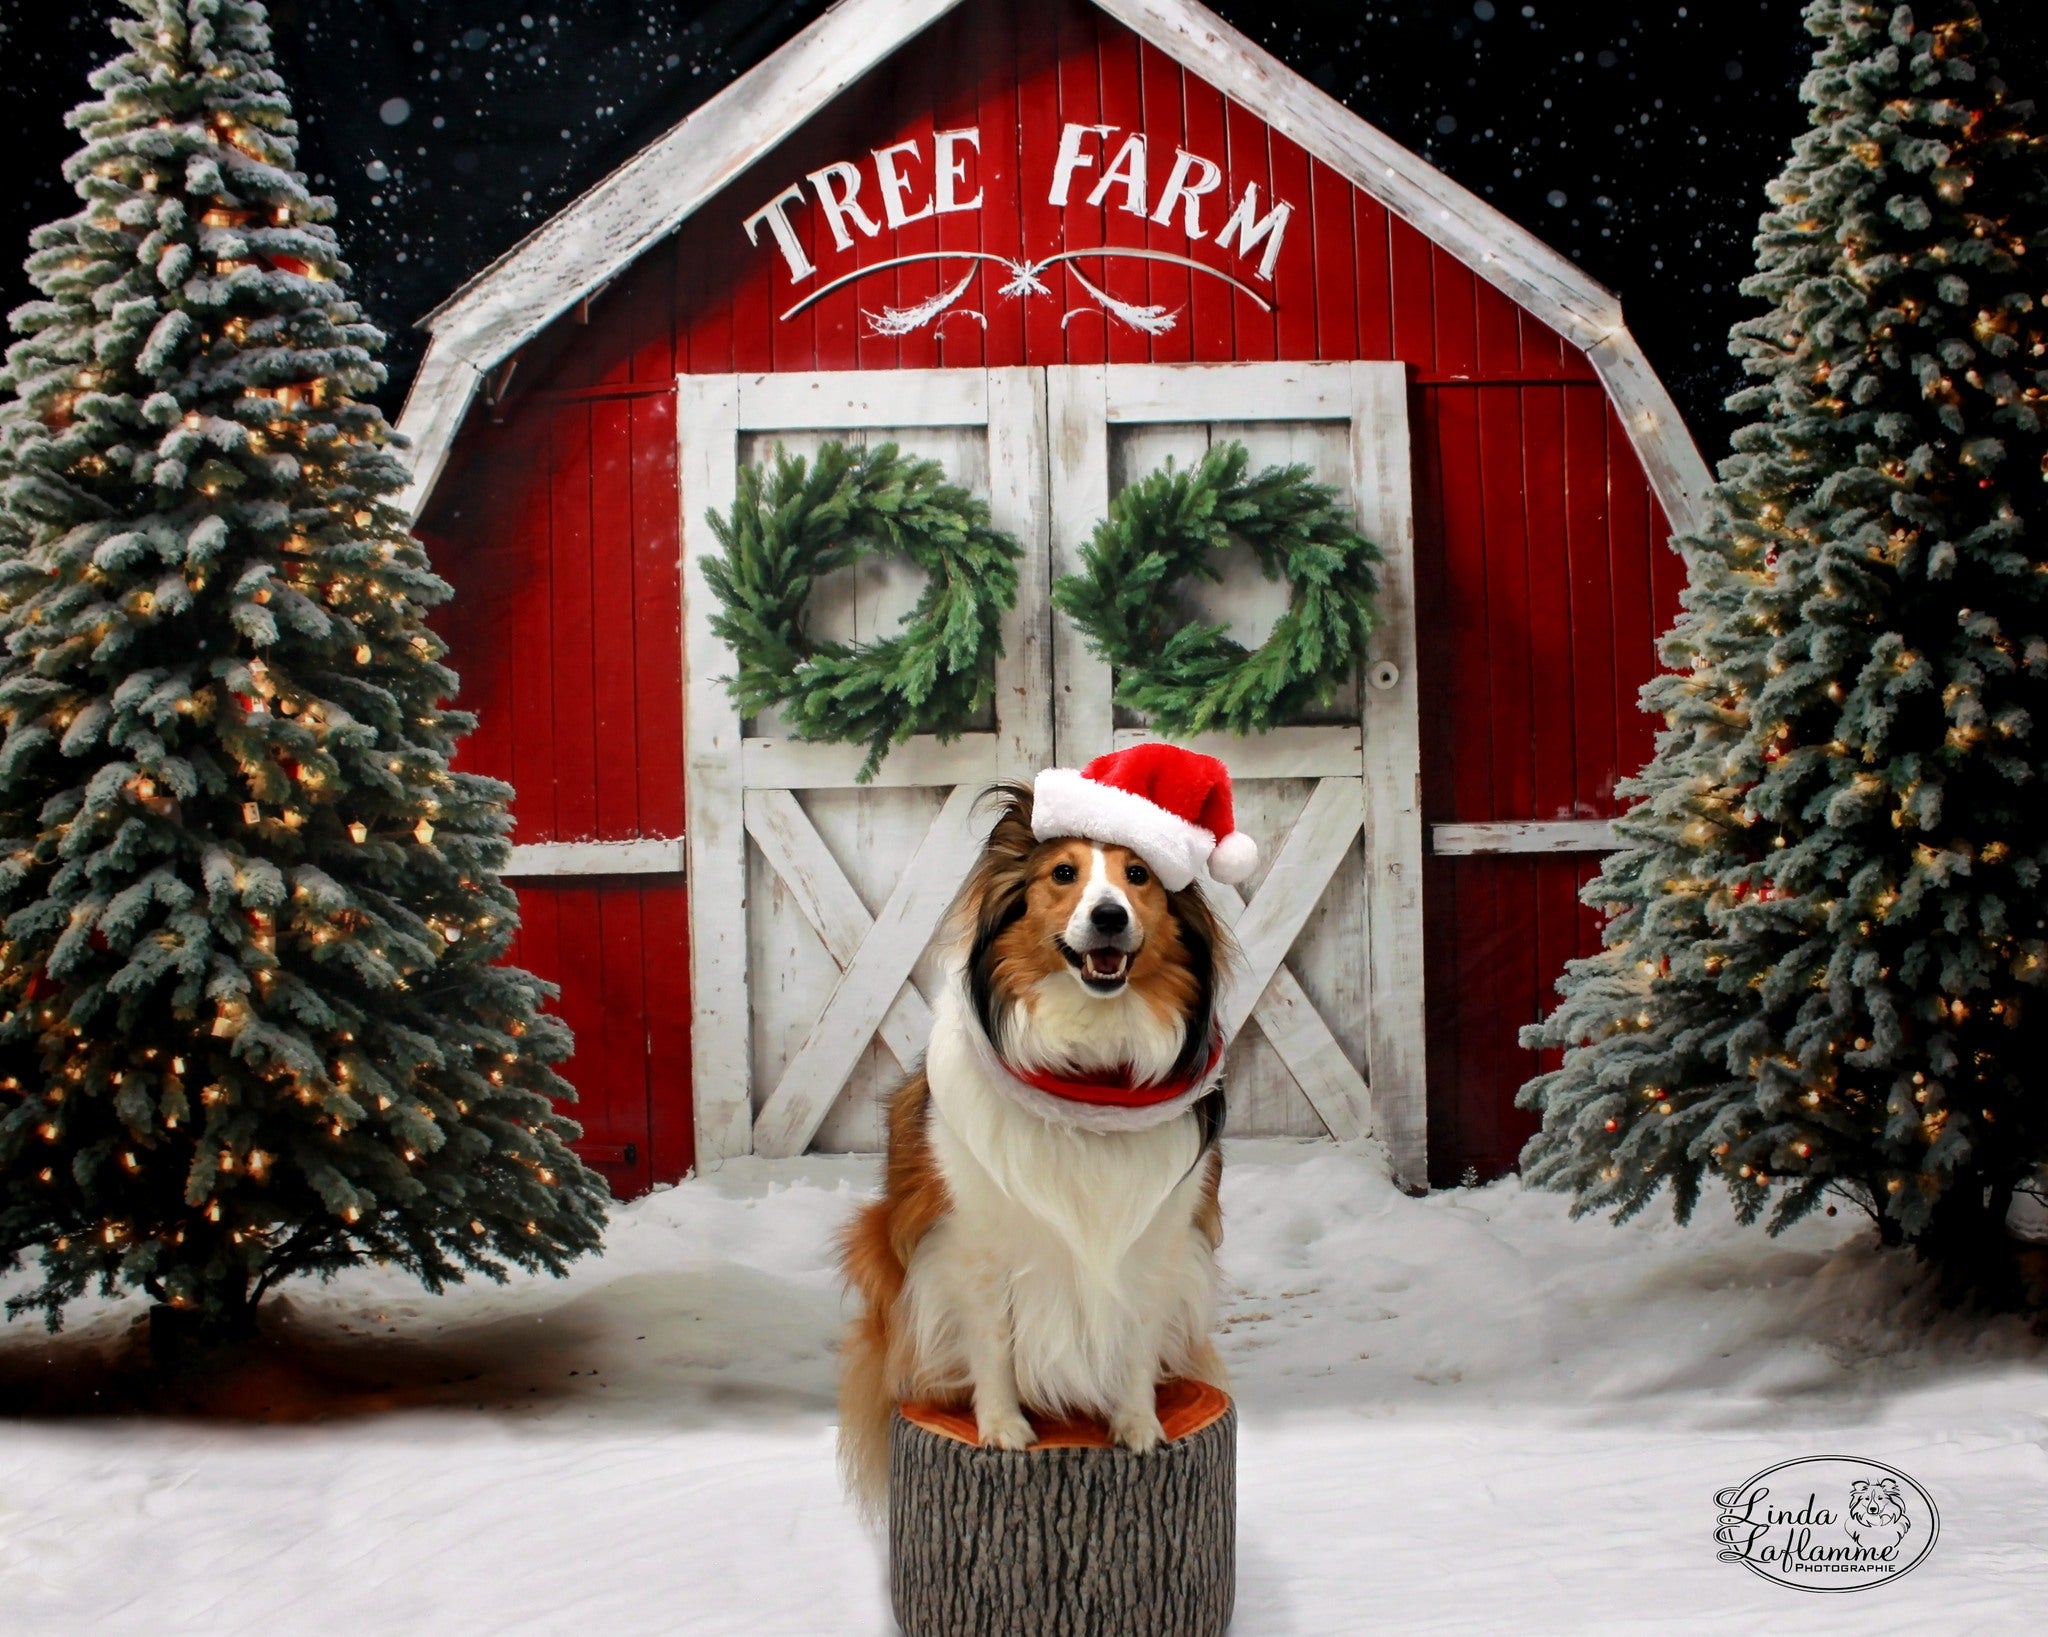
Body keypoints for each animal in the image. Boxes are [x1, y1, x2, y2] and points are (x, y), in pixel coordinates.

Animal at [835, 782, 1228, 1507]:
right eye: (1063, 873)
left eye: (1139, 874)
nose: (1108, 917)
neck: (1091, 1076)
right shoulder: (973, 1243)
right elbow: (993, 1341)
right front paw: (1002, 1427)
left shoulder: (1158, 1240)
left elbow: (1137, 1338)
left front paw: (1138, 1423)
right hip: (875, 1243)